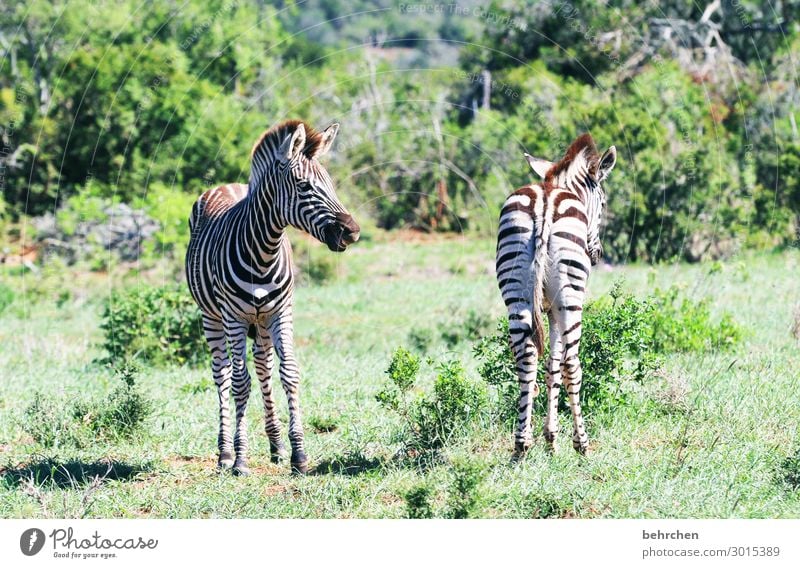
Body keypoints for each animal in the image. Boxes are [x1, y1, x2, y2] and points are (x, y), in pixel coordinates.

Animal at [184, 120, 360, 474]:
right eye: (303, 186)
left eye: (331, 184)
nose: (352, 231)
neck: (264, 252)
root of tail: (228, 184)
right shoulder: (235, 317)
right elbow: (240, 383)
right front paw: (240, 458)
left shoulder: (281, 312)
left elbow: (288, 373)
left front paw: (298, 454)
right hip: (212, 317)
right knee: (222, 374)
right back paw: (224, 452)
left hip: (262, 320)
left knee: (264, 366)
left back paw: (276, 445)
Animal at [494, 133, 620, 458]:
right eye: (603, 202)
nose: (596, 254)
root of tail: (544, 203)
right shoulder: (558, 308)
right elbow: (559, 364)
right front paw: (559, 439)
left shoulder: (548, 309)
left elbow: (549, 365)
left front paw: (549, 437)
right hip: (571, 297)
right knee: (572, 365)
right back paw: (583, 444)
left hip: (517, 294)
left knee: (526, 359)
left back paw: (521, 445)